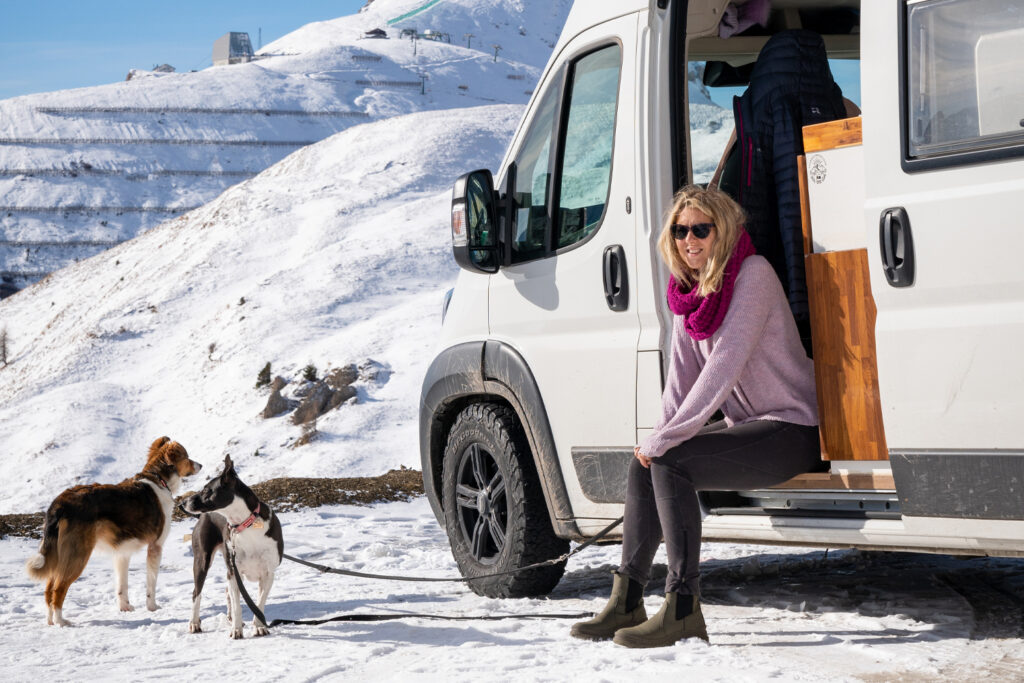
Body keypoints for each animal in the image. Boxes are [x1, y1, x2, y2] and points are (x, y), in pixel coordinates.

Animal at [25, 438, 201, 626]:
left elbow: (121, 585)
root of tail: (60, 502)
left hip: (59, 556)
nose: (201, 465)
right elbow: (151, 582)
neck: (158, 479)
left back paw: (51, 621)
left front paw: (125, 608)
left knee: (48, 589)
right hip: (77, 555)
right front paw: (152, 607)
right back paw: (61, 622)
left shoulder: (122, 553)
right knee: (58, 589)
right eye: (187, 457)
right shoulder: (155, 546)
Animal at [182, 456, 282, 638]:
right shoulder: (234, 573)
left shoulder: (268, 574)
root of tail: (202, 516)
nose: (183, 502)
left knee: (226, 591)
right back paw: (194, 623)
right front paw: (236, 630)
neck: (246, 524)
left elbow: (259, 603)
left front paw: (259, 626)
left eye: (206, 490)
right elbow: (237, 606)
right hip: (202, 561)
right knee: (196, 593)